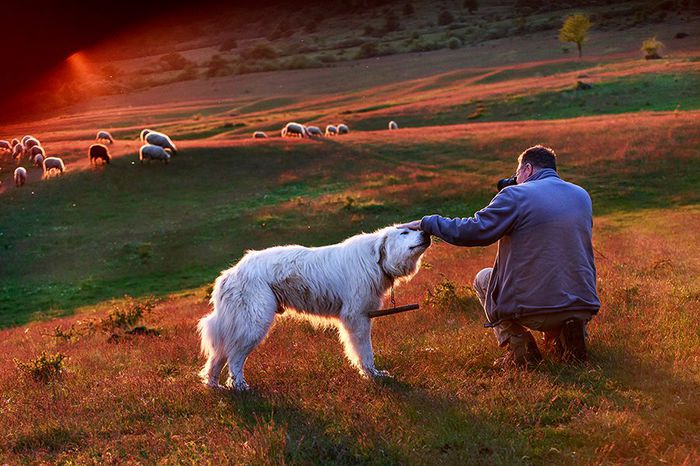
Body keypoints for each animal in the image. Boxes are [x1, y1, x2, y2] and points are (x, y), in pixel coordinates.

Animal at [194, 226, 430, 390]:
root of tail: (229, 274)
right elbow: (365, 353)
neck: (375, 260)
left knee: (217, 358)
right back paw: (240, 387)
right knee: (234, 358)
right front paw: (372, 375)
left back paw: (215, 386)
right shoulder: (356, 318)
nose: (426, 232)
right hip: (254, 324)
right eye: (405, 232)